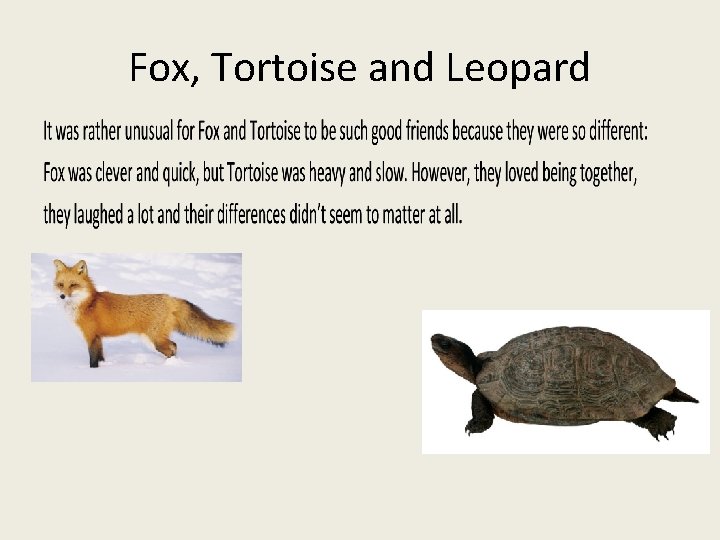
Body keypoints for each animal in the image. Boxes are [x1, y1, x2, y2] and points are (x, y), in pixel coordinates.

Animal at [53, 259, 236, 367]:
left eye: (73, 285)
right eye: (61, 285)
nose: (62, 296)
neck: (89, 303)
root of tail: (169, 298)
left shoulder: (91, 336)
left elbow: (93, 359)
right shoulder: (98, 338)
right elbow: (101, 357)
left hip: (155, 340)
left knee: (173, 347)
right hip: (155, 339)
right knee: (174, 346)